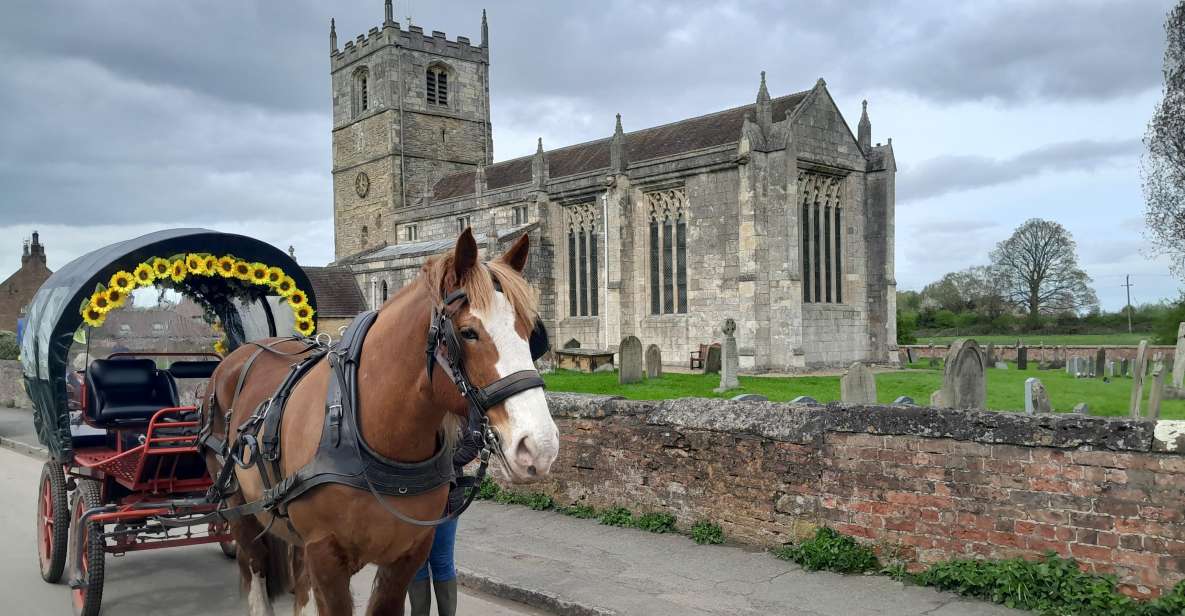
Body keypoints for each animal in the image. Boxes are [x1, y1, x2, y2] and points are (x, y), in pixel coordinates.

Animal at [200, 232, 559, 616]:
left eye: (530, 332)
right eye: (468, 332)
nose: (541, 446)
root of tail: (237, 354)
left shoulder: (408, 554)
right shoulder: (325, 556)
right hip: (237, 504)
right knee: (254, 561)